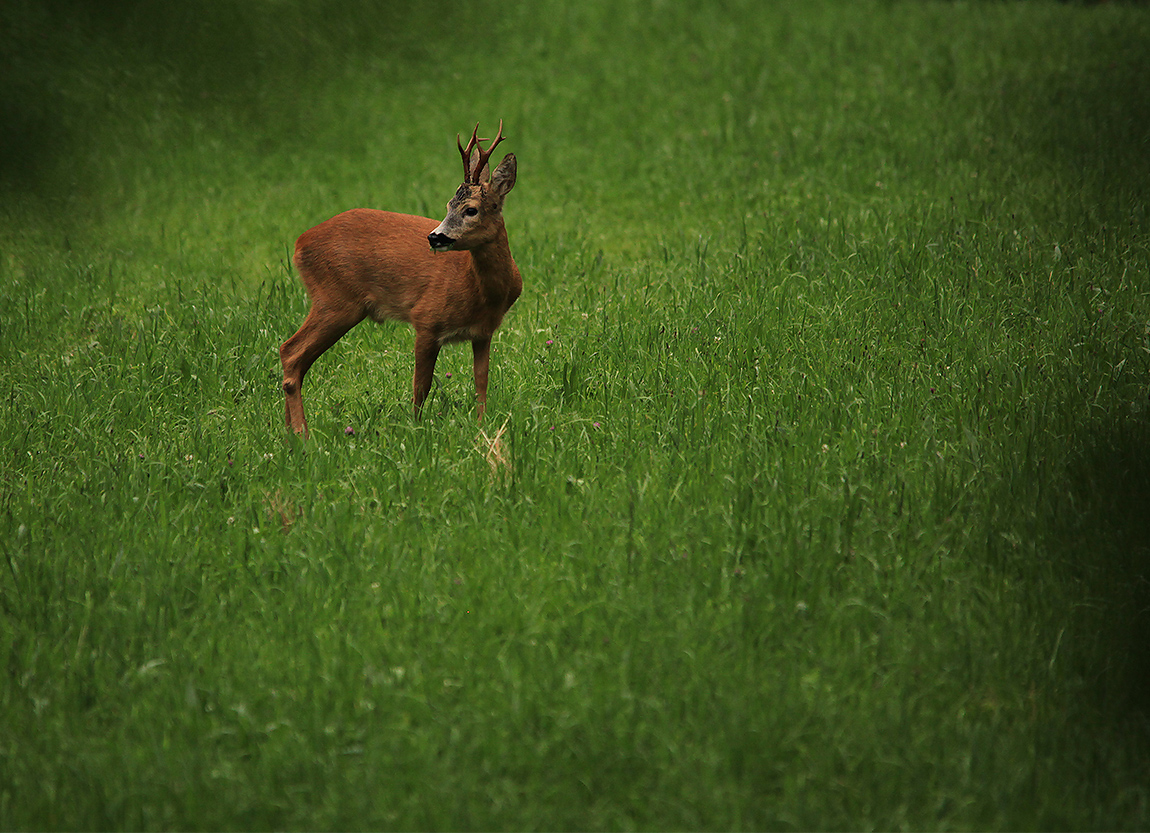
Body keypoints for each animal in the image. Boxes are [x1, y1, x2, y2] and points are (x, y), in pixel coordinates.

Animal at [281, 123, 522, 439]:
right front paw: (416, 429)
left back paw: (288, 434)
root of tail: (299, 243)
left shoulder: (483, 332)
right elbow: (421, 386)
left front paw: (483, 430)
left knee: (293, 357)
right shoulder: (426, 319)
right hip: (335, 300)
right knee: (291, 352)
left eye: (471, 209)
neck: (480, 291)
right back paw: (302, 435)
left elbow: (481, 383)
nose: (434, 237)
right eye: (448, 205)